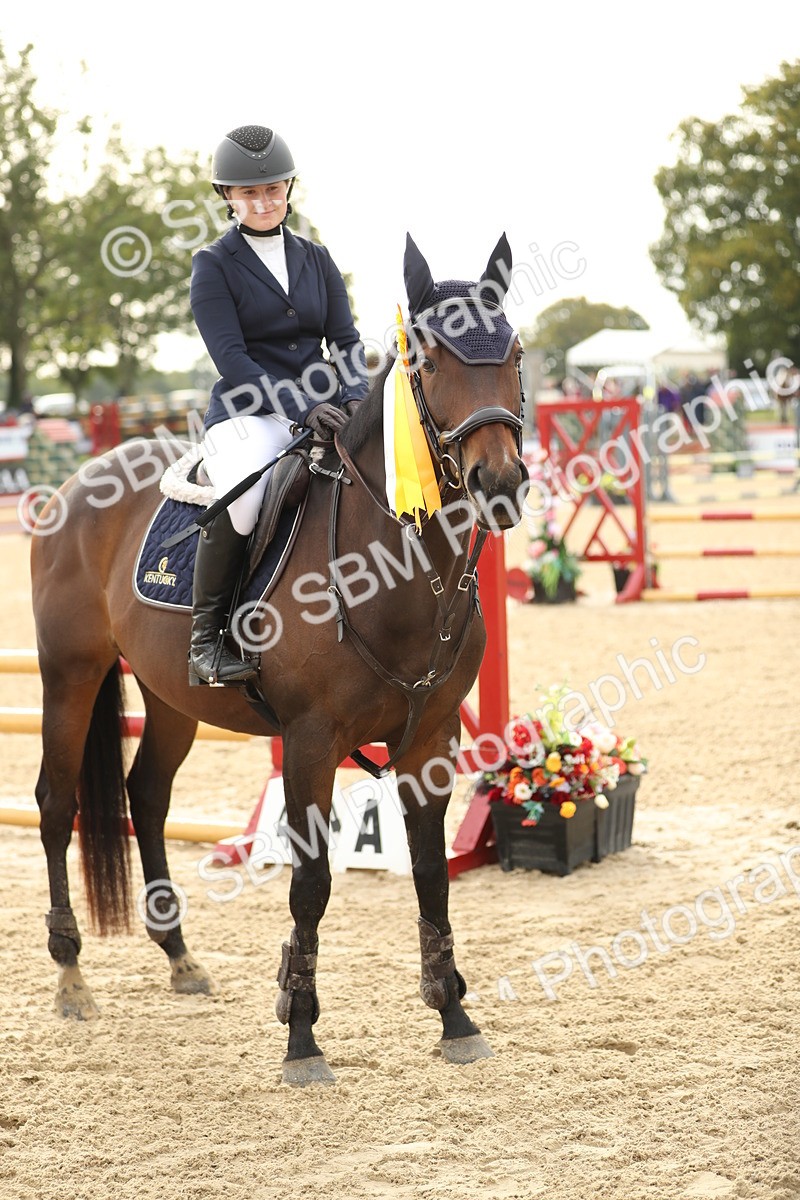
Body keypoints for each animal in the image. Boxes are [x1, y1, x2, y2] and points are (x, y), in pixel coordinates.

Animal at [30, 234, 528, 1086]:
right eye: (430, 361)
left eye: (517, 354)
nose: (498, 482)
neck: (396, 569)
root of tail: (77, 481)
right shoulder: (309, 741)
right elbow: (312, 883)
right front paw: (301, 1033)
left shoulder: (431, 739)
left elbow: (431, 871)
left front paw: (454, 1016)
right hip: (70, 675)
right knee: (57, 804)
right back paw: (70, 976)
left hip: (170, 697)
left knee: (146, 796)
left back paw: (180, 956)